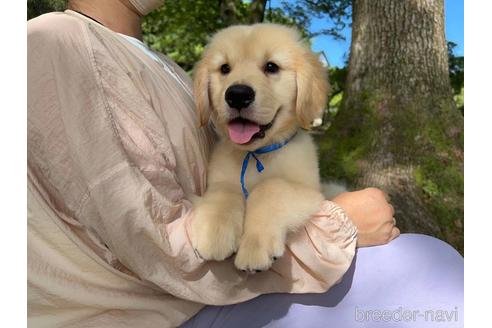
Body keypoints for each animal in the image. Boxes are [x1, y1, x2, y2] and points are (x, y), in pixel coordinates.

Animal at [190, 23, 328, 272]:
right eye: (225, 68)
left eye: (271, 67)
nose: (237, 95)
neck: (255, 154)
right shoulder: (221, 179)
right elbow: (225, 190)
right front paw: (214, 231)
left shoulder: (312, 191)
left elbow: (270, 187)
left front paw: (255, 245)